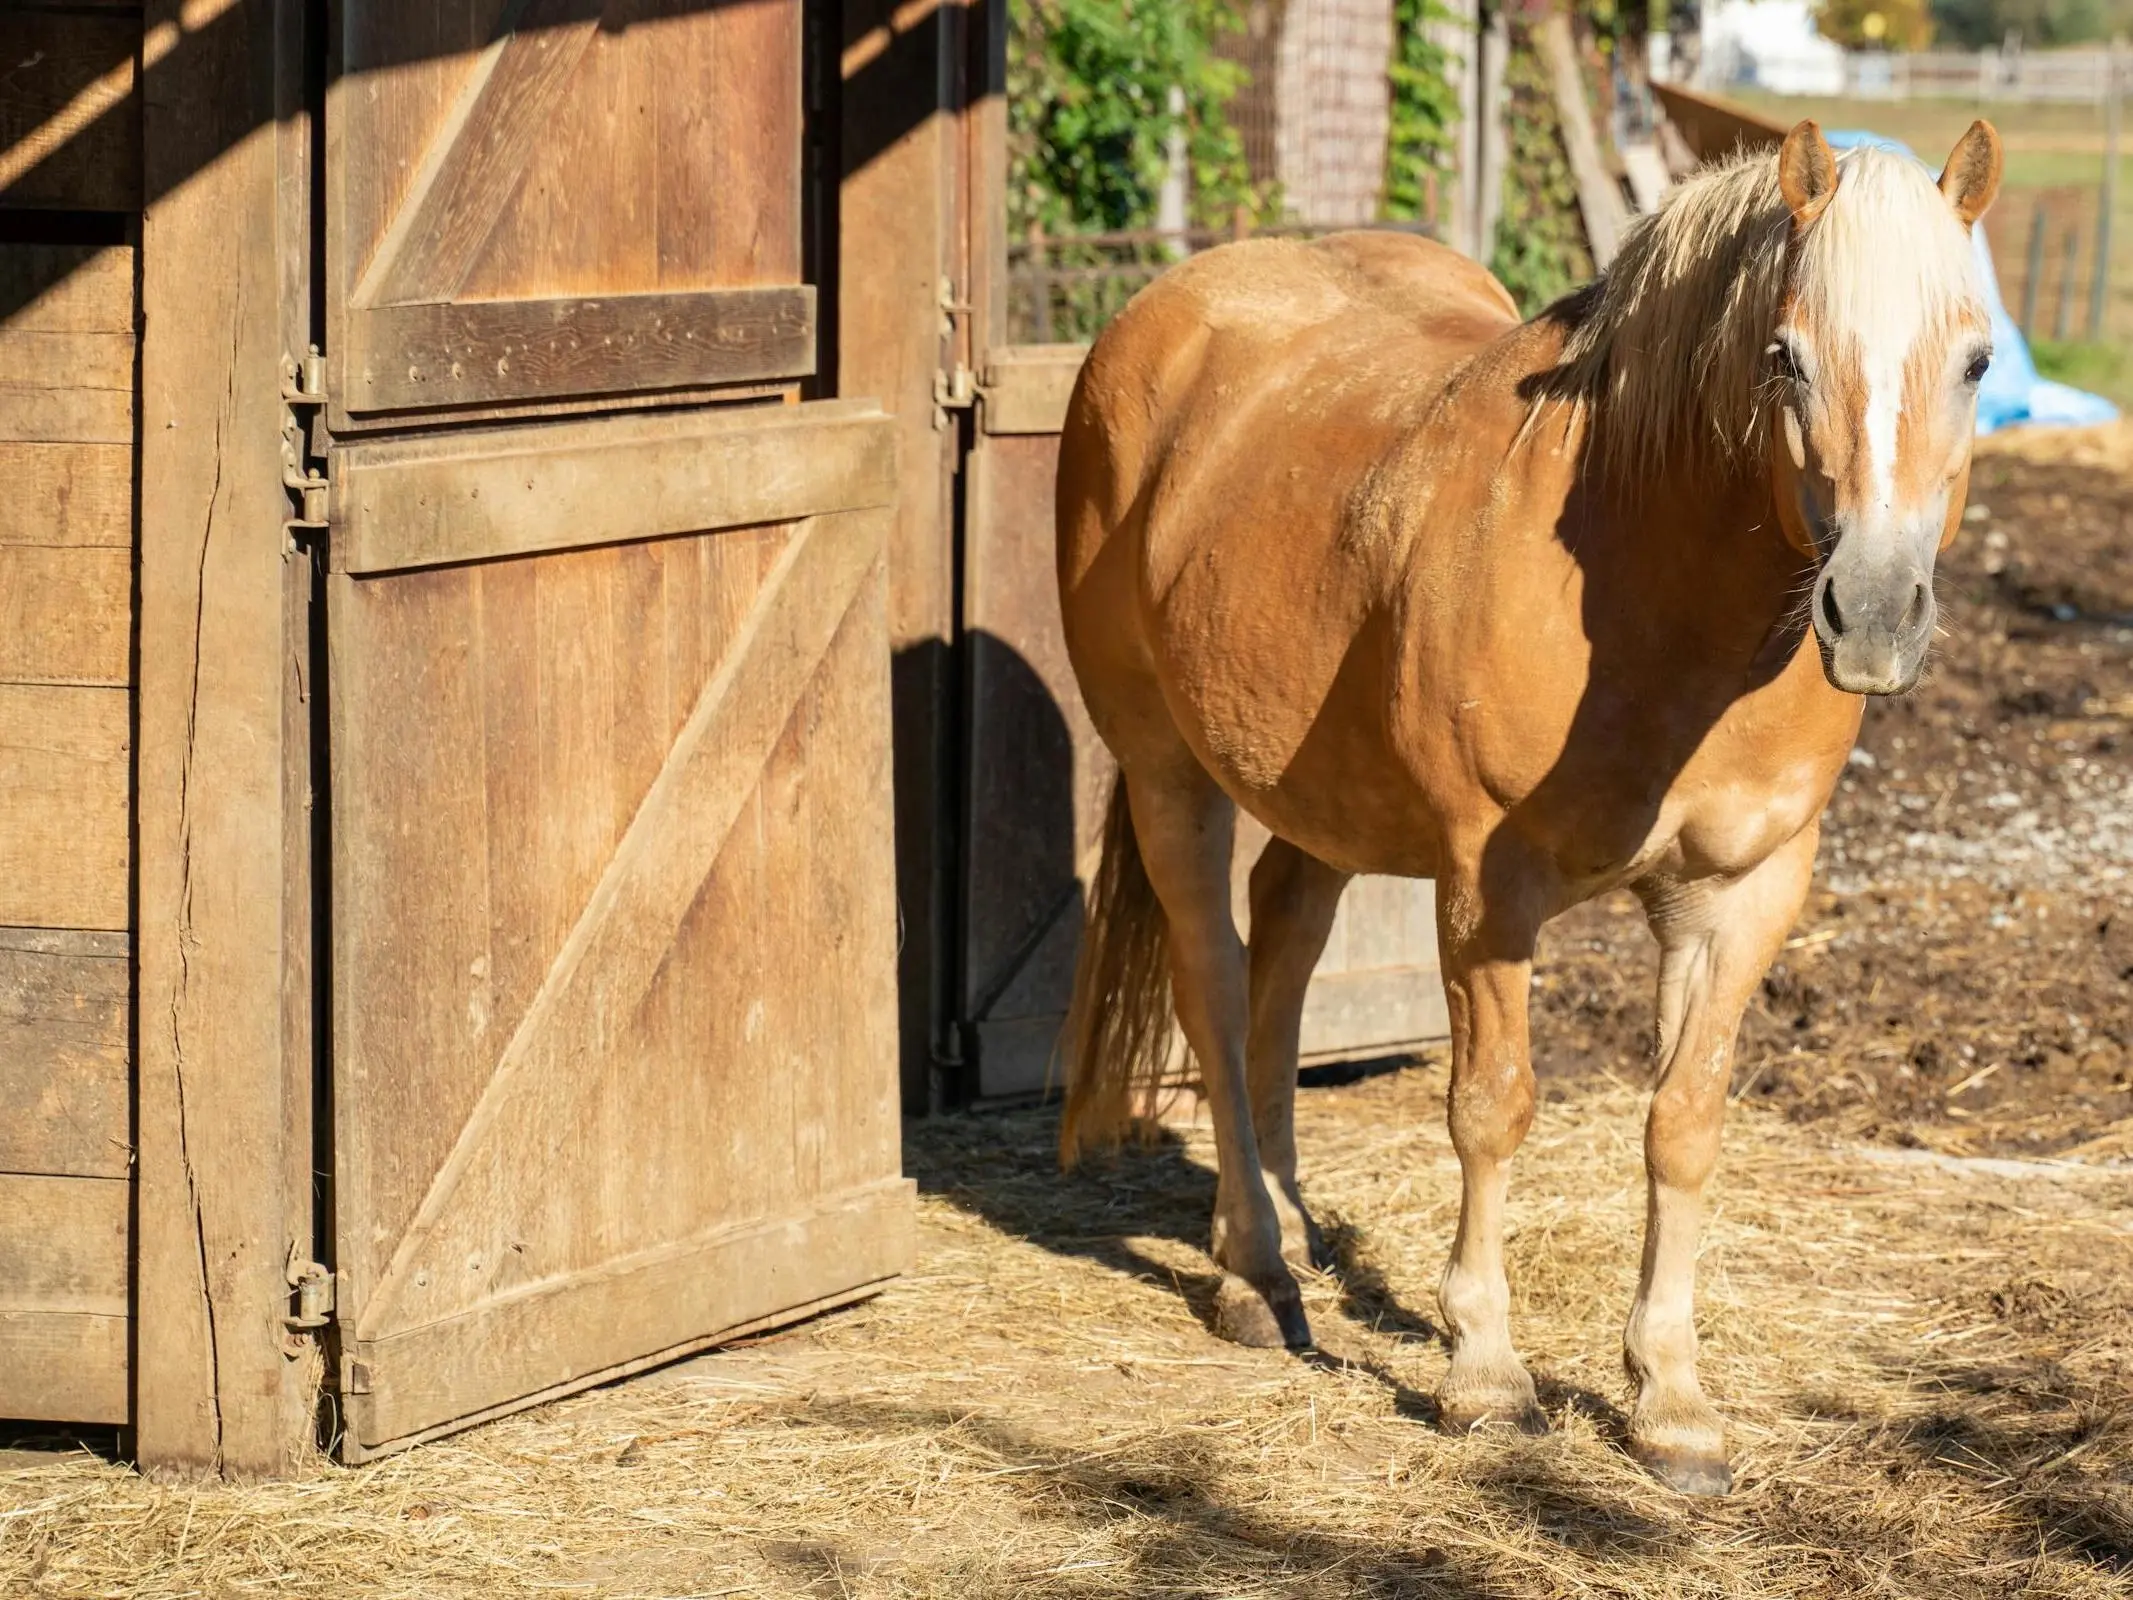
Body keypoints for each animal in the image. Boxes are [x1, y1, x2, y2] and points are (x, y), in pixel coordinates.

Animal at [1053, 118, 1996, 1501]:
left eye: (1977, 360)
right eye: (1784, 354)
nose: (1872, 612)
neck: (1656, 598)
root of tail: (1161, 315)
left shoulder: (1742, 898)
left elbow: (1683, 1124)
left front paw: (1672, 1401)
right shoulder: (1488, 892)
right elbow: (1491, 1108)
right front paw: (1487, 1376)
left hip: (1319, 791)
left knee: (1284, 947)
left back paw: (1291, 1221)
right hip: (1172, 773)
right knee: (1214, 982)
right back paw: (1255, 1269)